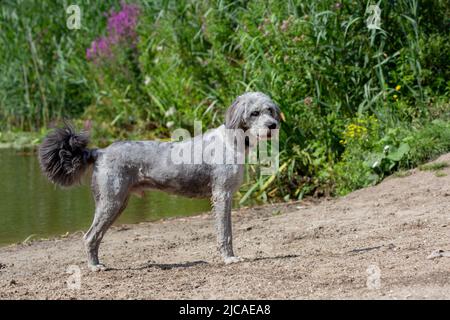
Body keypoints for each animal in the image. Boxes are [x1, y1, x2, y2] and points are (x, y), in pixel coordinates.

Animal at [37, 91, 282, 272]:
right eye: (255, 113)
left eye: (270, 110)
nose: (272, 125)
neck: (233, 141)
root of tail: (99, 152)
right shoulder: (222, 195)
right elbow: (225, 232)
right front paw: (229, 258)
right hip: (110, 202)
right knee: (89, 237)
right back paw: (95, 267)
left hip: (117, 203)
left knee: (94, 237)